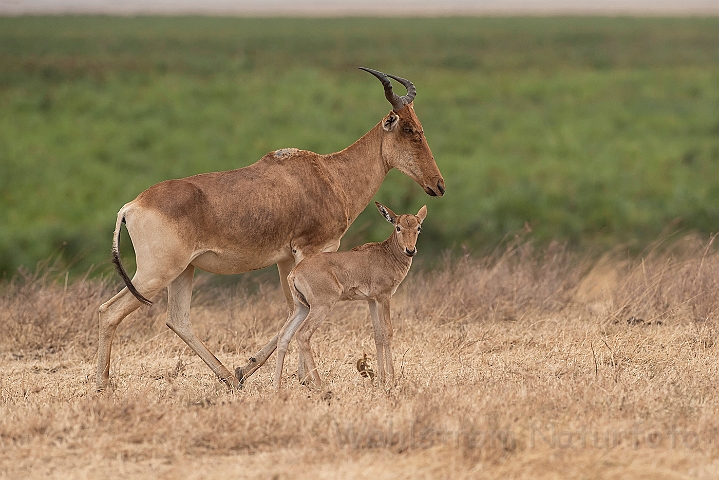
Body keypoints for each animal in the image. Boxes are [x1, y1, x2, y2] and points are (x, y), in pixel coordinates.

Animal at [270, 202, 424, 390]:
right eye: (398, 227)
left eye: (418, 227)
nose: (410, 250)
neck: (385, 254)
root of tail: (294, 273)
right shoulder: (384, 297)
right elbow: (388, 332)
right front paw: (391, 381)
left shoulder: (371, 300)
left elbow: (377, 335)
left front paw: (380, 380)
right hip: (321, 306)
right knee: (303, 335)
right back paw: (320, 384)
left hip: (302, 308)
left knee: (284, 335)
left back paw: (276, 386)